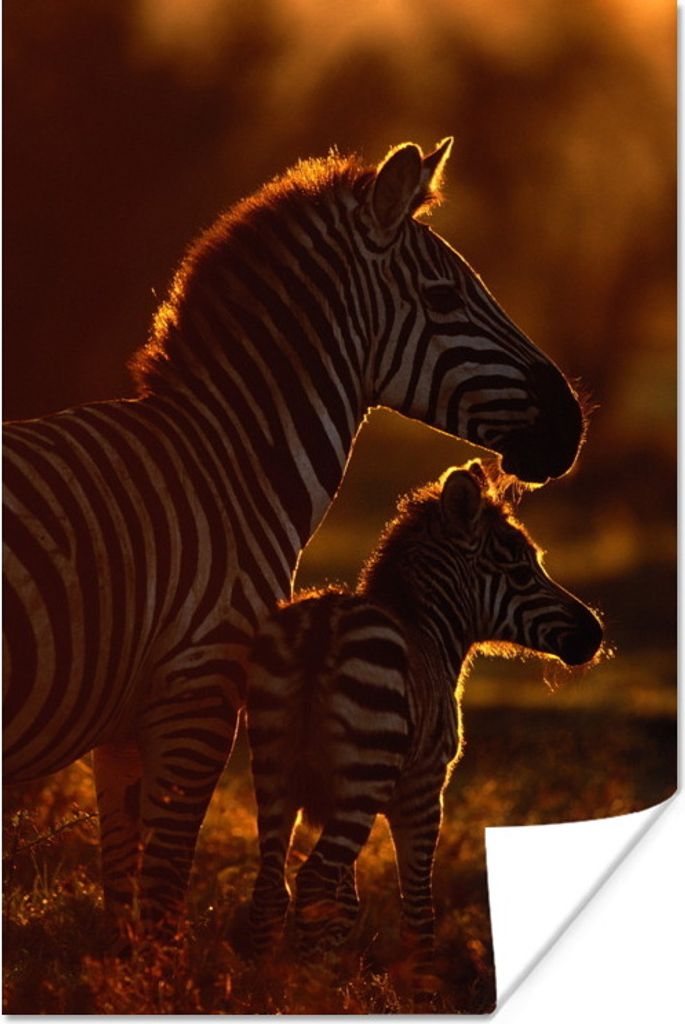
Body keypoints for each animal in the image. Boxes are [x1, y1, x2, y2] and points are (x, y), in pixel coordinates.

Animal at [3, 137, 586, 941]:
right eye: (445, 299)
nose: (573, 425)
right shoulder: (203, 690)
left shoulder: (123, 728)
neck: (227, 466)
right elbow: (164, 896)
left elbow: (122, 906)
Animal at [247, 460, 603, 992]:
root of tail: (323, 623)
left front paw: (334, 982)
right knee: (311, 881)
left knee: (274, 887)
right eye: (522, 571)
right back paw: (301, 994)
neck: (430, 634)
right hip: (363, 781)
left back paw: (264, 990)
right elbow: (419, 909)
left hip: (274, 773)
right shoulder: (423, 790)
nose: (595, 633)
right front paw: (420, 991)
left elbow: (345, 907)